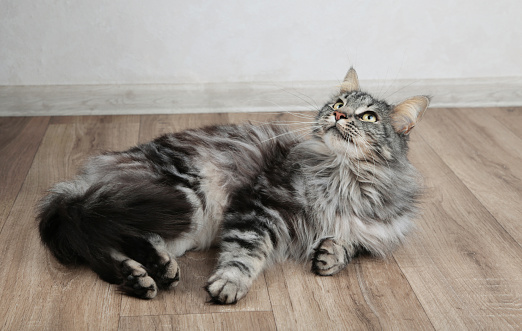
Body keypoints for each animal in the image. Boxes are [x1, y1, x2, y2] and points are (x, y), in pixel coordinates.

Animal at [37, 68, 426, 306]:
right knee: (105, 239)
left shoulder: (374, 233)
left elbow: (350, 246)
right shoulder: (259, 204)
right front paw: (230, 283)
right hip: (181, 202)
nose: (339, 115)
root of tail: (84, 181)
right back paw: (144, 274)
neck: (343, 180)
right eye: (339, 103)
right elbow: (245, 251)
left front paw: (330, 256)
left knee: (108, 246)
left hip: (174, 223)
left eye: (369, 117)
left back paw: (144, 275)